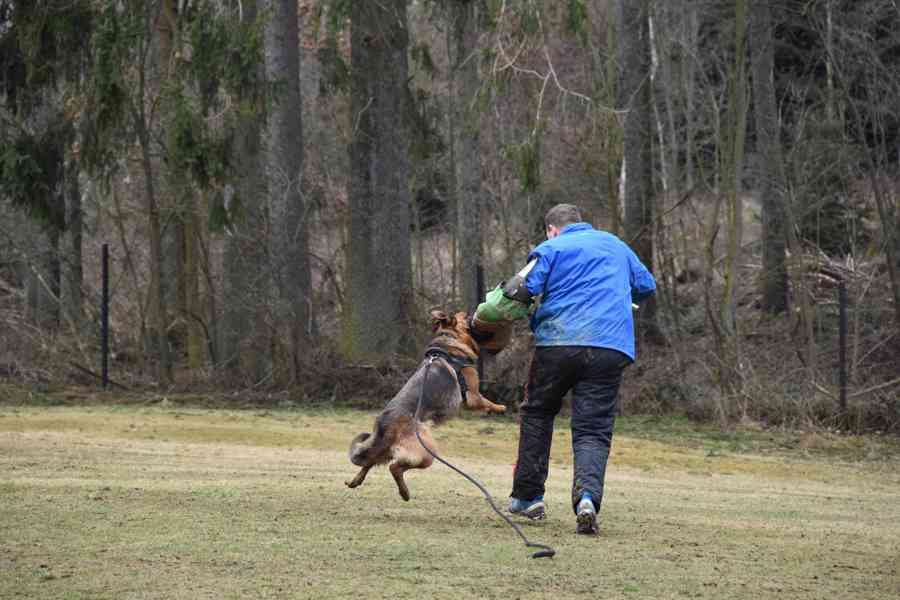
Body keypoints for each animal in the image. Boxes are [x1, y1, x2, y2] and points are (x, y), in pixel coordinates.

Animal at [346, 310, 506, 502]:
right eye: (460, 316)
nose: (467, 313)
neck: (449, 339)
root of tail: (386, 423)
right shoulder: (473, 397)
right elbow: (487, 402)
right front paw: (500, 408)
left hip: (385, 450)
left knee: (371, 462)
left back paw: (356, 481)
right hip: (427, 451)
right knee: (394, 467)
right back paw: (404, 493)